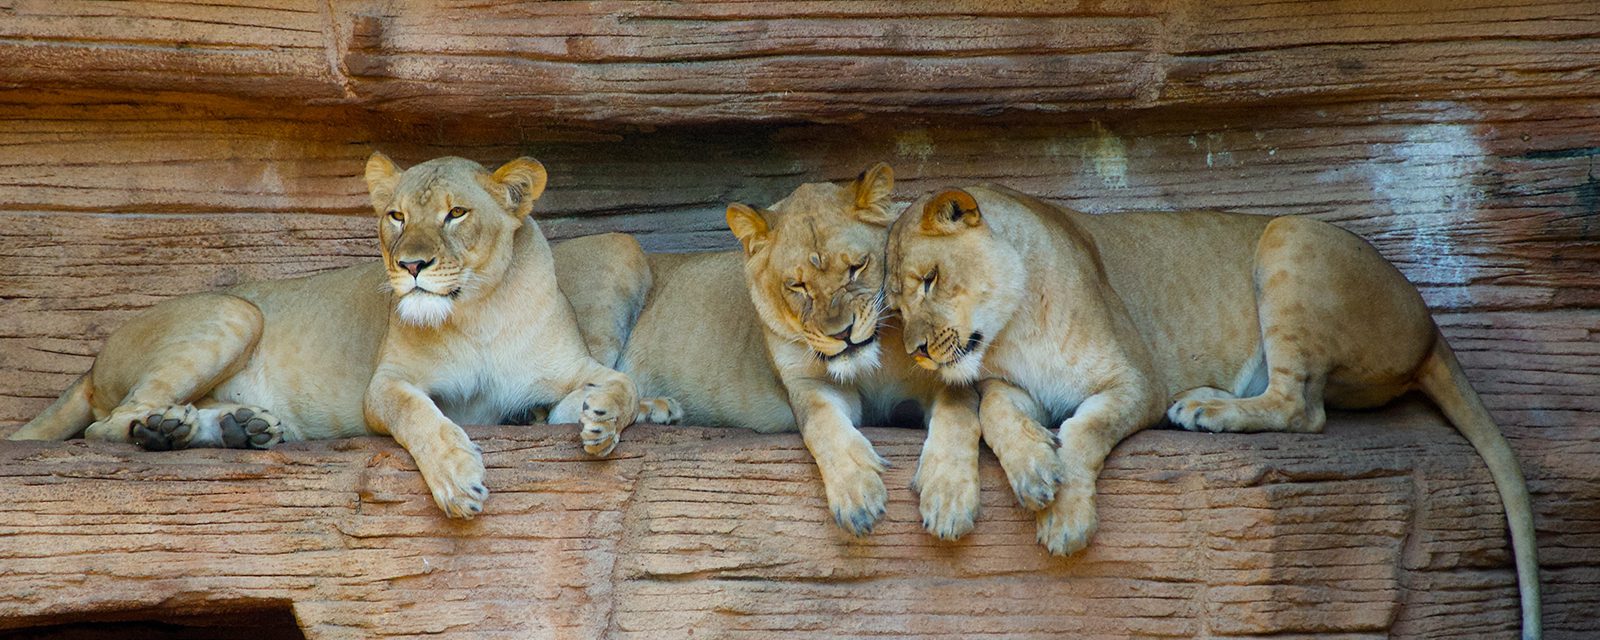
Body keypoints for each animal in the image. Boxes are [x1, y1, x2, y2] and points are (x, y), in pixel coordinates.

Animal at [7, 153, 668, 518]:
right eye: (396, 217)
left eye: (456, 213)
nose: (411, 265)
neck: (477, 313)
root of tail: (91, 364)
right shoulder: (386, 386)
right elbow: (420, 417)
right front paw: (458, 481)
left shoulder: (569, 368)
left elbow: (621, 381)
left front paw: (603, 421)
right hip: (235, 311)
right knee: (108, 424)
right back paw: (169, 428)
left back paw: (236, 427)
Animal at [889, 184, 1536, 633]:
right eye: (894, 303)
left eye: (930, 279)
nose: (916, 351)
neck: (1013, 327)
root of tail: (1430, 325)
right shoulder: (1015, 385)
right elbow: (997, 413)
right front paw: (1032, 473)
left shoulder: (1137, 381)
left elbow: (1085, 432)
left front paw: (1066, 516)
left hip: (1289, 236)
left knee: (1302, 408)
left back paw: (1203, 410)